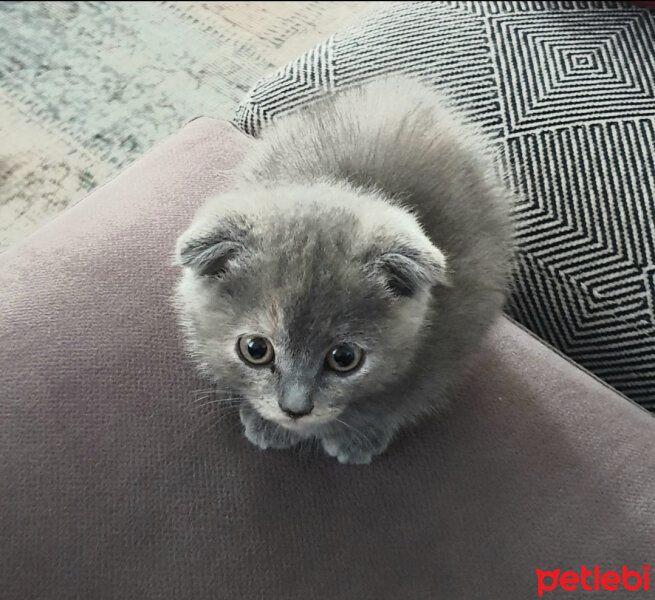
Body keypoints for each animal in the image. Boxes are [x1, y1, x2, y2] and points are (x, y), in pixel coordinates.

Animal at [177, 76, 516, 464]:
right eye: (255, 349)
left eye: (344, 358)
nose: (294, 409)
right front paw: (267, 424)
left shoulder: (452, 343)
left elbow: (400, 402)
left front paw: (360, 435)